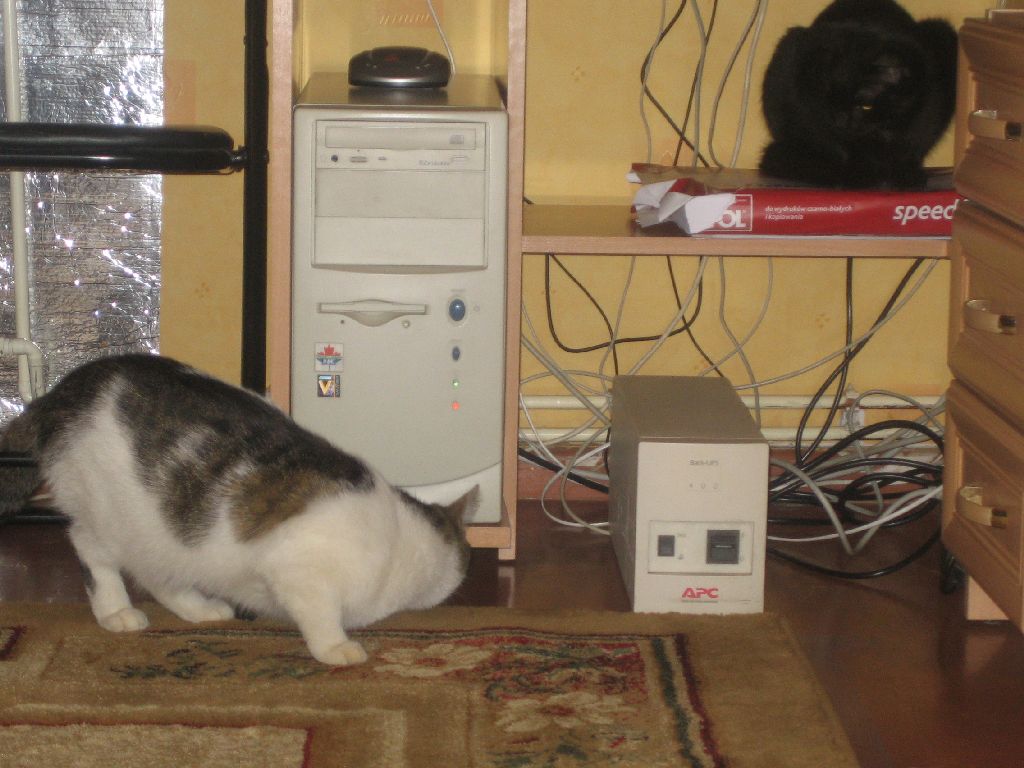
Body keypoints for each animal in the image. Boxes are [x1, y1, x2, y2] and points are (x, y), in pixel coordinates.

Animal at [0, 353, 476, 666]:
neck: (397, 539)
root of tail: (62, 390)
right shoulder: (299, 571)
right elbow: (320, 618)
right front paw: (336, 648)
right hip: (106, 513)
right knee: (90, 549)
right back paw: (116, 610)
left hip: (161, 531)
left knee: (158, 575)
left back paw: (199, 608)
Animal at [759, 0, 957, 189]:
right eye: (831, 99)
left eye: (865, 105)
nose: (840, 120)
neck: (883, 127)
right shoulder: (810, 107)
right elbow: (841, 145)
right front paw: (858, 174)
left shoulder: (929, 109)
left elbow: (915, 142)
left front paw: (907, 173)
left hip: (940, 31)